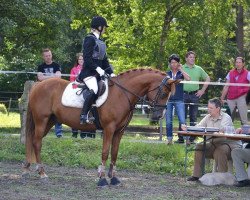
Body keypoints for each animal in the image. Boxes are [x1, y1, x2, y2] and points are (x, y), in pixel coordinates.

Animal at [22, 68, 179, 186]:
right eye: (163, 93)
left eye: (169, 95)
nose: (159, 116)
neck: (122, 94)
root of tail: (38, 85)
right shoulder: (109, 129)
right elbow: (105, 152)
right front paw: (102, 177)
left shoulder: (119, 131)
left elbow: (114, 152)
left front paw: (113, 177)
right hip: (41, 120)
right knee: (37, 142)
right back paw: (41, 173)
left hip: (49, 121)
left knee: (33, 141)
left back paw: (27, 168)